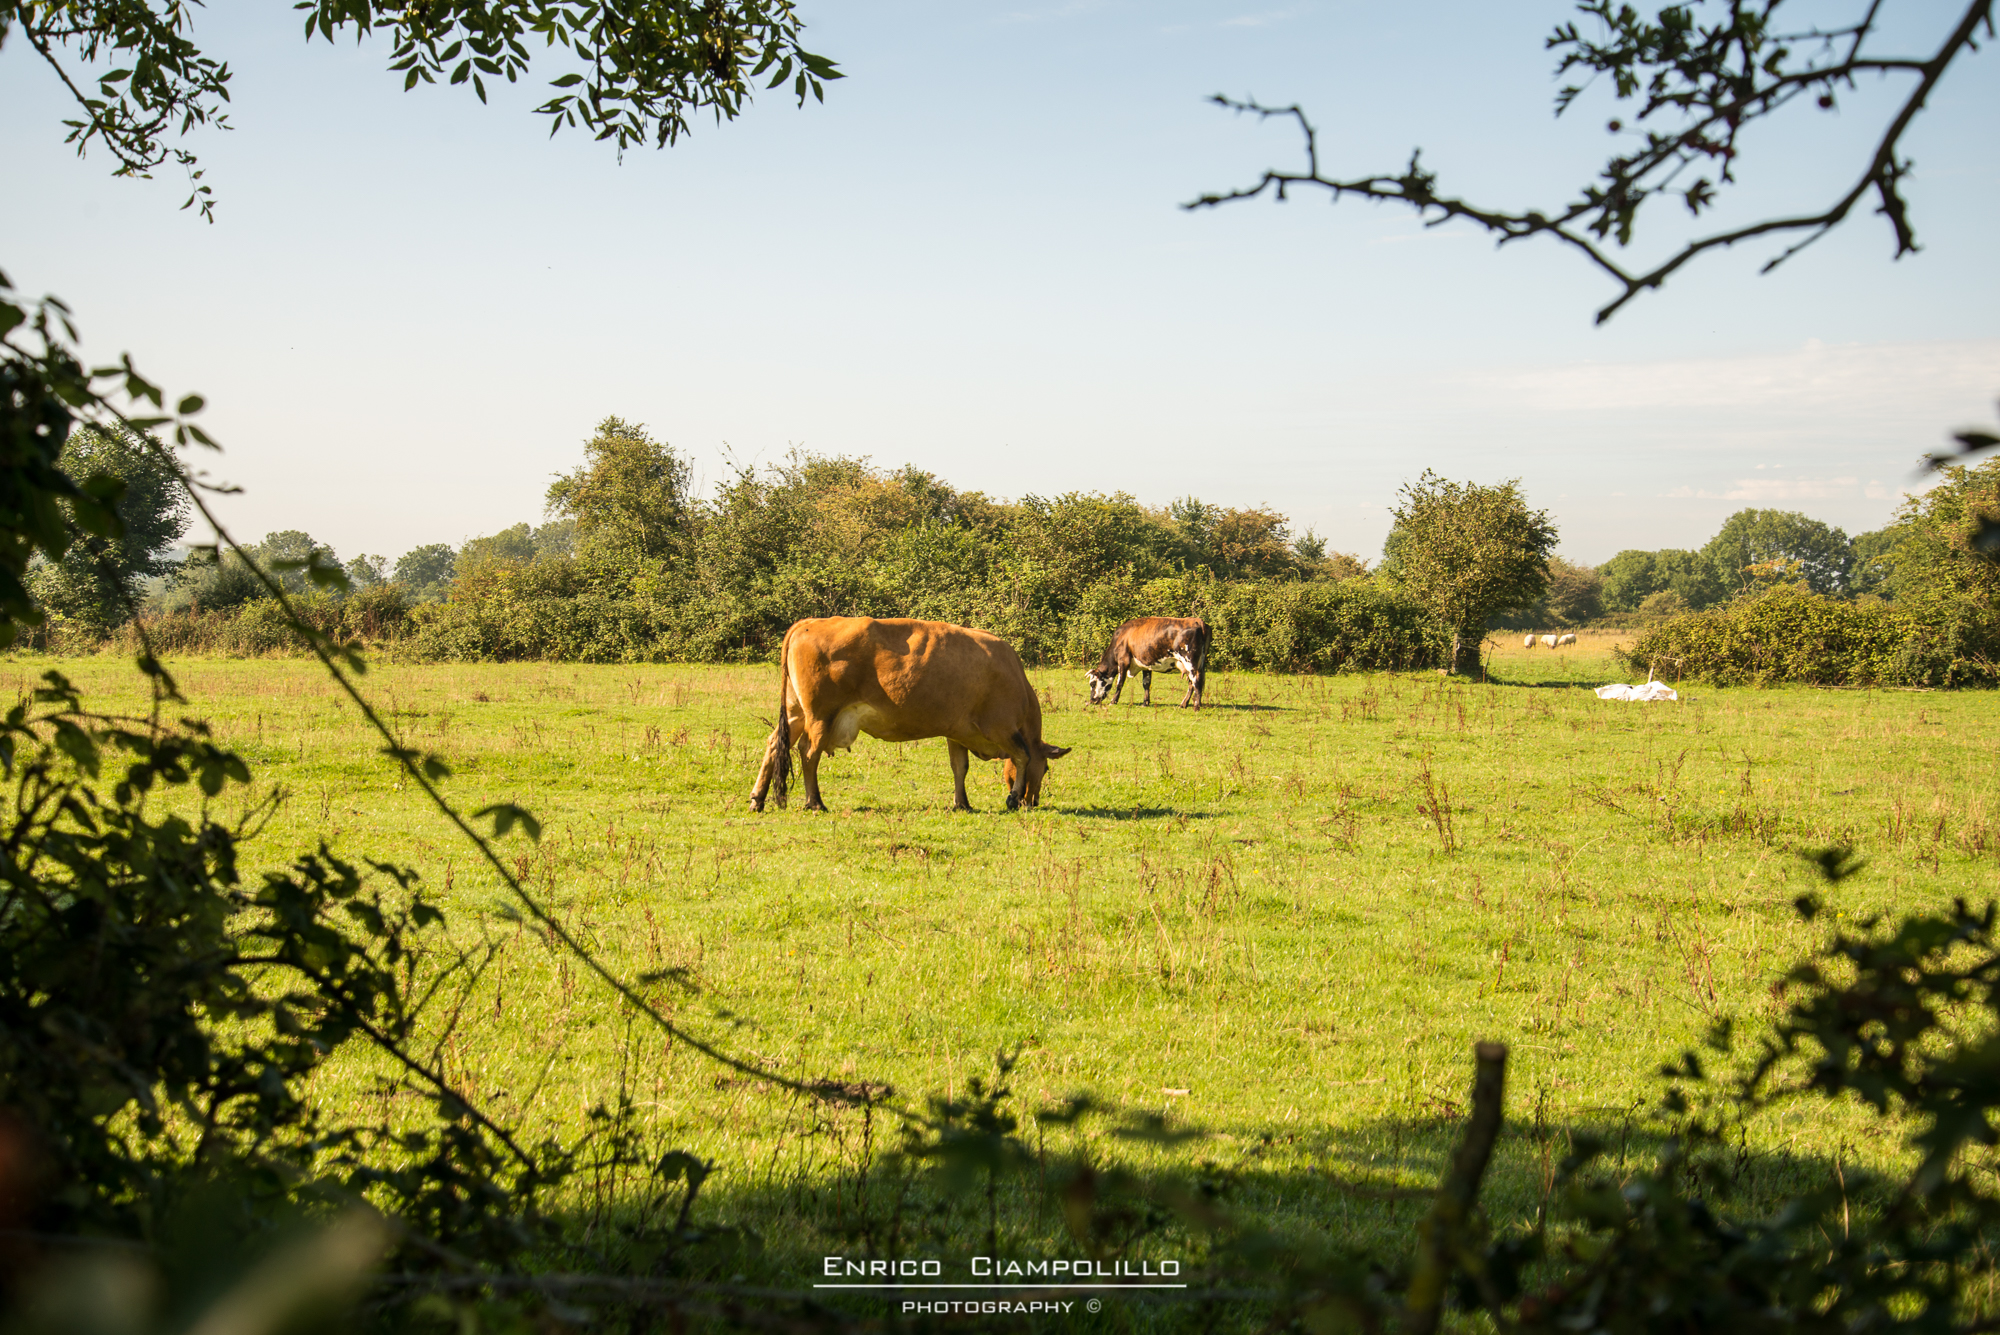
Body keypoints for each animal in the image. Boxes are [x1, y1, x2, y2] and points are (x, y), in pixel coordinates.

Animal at [749, 617, 1070, 814]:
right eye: (1046, 769)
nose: (1034, 802)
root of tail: (809, 622)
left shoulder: (957, 731)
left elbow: (960, 768)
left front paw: (962, 803)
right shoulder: (1001, 727)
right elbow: (1022, 756)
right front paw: (1014, 797)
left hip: (796, 713)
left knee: (775, 744)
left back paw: (758, 799)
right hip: (820, 716)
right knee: (808, 753)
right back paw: (815, 802)